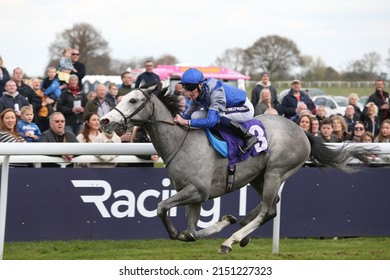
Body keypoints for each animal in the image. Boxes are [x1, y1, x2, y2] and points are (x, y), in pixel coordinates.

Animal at [100, 82, 368, 254]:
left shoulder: (197, 190)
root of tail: (302, 130)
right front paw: (224, 220)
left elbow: (161, 207)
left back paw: (231, 240)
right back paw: (243, 230)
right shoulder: (193, 195)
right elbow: (192, 232)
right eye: (121, 98)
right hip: (259, 176)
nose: (105, 121)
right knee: (272, 206)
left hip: (276, 171)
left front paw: (179, 233)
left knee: (268, 210)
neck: (181, 140)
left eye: (133, 100)